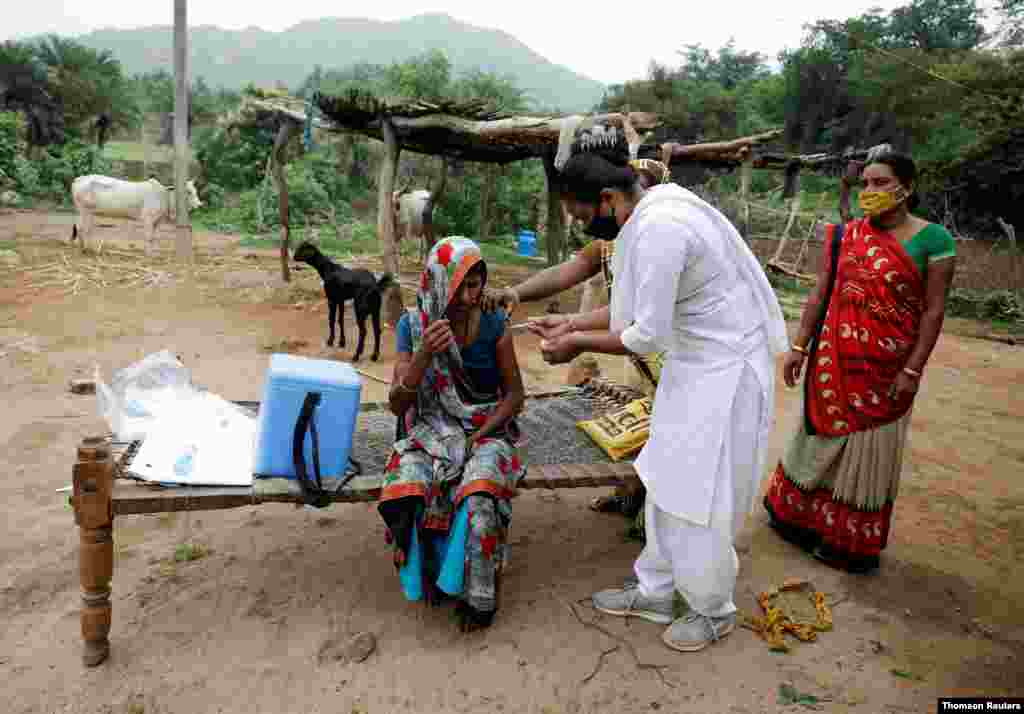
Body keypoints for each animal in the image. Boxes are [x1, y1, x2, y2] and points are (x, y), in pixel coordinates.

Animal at [69, 176, 201, 256]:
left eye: (195, 190)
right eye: (188, 191)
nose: (199, 205)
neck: (164, 196)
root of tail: (79, 179)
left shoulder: (156, 222)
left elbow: (154, 237)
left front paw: (153, 252)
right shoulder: (148, 219)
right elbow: (149, 237)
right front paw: (149, 254)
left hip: (88, 212)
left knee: (86, 229)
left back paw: (90, 249)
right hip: (84, 211)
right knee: (82, 228)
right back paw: (84, 249)